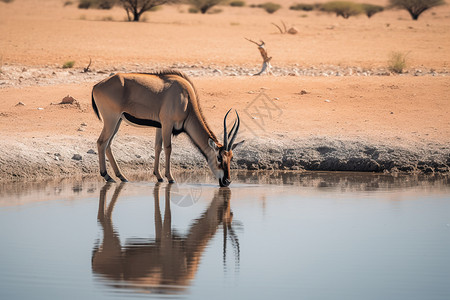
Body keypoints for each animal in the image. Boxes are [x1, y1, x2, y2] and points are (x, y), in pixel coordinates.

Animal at [91, 71, 243, 186]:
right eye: (219, 157)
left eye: (231, 157)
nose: (227, 181)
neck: (186, 98)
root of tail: (96, 86)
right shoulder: (167, 124)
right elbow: (168, 148)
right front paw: (170, 178)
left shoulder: (160, 126)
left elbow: (158, 147)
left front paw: (158, 176)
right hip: (111, 120)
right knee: (101, 142)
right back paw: (107, 175)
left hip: (118, 121)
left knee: (108, 145)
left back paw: (121, 176)